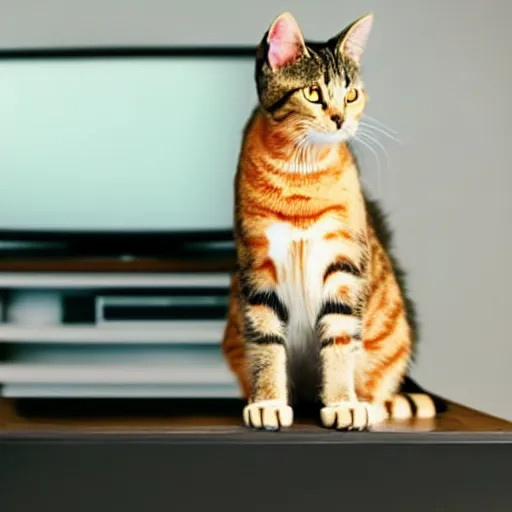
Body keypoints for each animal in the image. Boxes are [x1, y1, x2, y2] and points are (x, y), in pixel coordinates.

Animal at [222, 12, 446, 430]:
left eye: (352, 95)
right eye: (313, 93)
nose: (341, 119)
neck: (300, 172)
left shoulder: (344, 263)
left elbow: (341, 338)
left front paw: (343, 403)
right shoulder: (258, 268)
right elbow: (265, 341)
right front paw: (268, 401)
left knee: (377, 387)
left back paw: (365, 403)